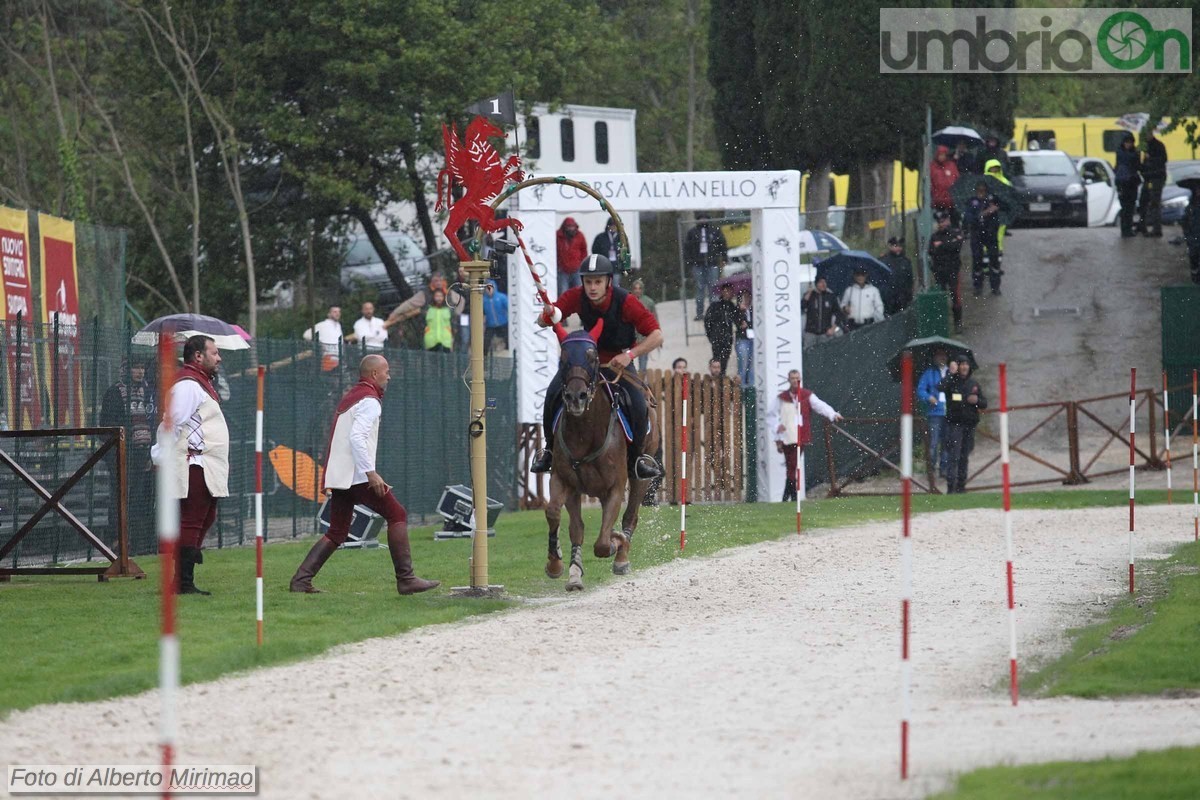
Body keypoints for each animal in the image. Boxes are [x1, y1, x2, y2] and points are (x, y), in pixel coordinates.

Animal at [547, 321, 662, 592]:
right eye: (563, 358)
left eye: (593, 357)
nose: (575, 397)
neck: (585, 434)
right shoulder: (564, 482)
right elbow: (558, 516)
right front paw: (560, 566)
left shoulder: (615, 488)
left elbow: (601, 544)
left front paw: (615, 542)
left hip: (641, 477)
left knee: (631, 516)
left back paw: (621, 555)